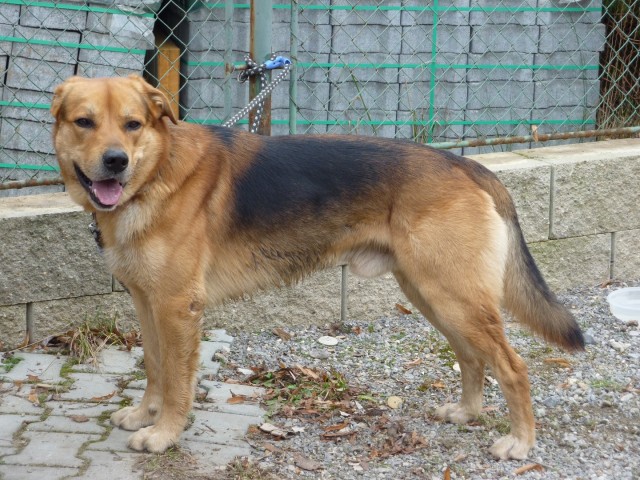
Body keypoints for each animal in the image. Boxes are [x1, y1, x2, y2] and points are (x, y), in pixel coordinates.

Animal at [50, 74, 584, 458]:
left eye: (133, 124)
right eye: (84, 122)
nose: (115, 162)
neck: (156, 172)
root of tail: (467, 165)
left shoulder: (178, 308)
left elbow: (179, 382)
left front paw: (164, 435)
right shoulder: (149, 305)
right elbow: (156, 370)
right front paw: (146, 416)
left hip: (454, 299)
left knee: (512, 366)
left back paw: (521, 442)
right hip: (433, 297)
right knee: (472, 358)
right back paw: (468, 413)